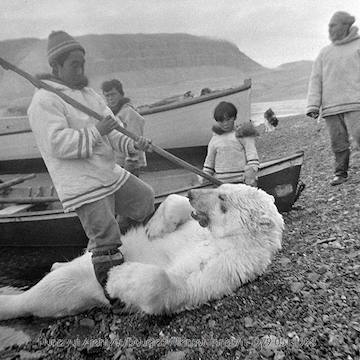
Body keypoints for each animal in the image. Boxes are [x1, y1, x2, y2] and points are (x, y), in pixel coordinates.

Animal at [0, 184, 284, 320]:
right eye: (220, 187)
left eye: (223, 199)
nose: (193, 192)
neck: (223, 238)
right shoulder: (198, 231)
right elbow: (175, 208)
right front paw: (155, 228)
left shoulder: (231, 265)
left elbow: (179, 287)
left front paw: (119, 277)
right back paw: (54, 266)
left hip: (80, 289)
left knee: (53, 291)